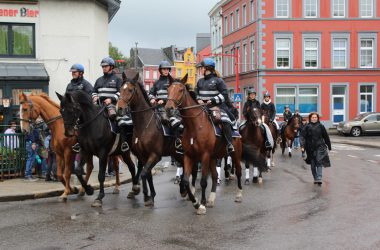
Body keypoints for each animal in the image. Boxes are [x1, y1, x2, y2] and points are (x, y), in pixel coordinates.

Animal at [117, 70, 186, 207]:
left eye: (131, 90)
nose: (120, 108)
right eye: (121, 89)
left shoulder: (155, 155)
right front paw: (150, 195)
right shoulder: (143, 156)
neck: (144, 125)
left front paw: (146, 196)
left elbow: (144, 173)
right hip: (175, 153)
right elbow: (147, 174)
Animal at [164, 73, 242, 215]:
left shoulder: (204, 155)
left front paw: (202, 204)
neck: (195, 125)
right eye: (168, 89)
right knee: (215, 175)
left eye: (181, 90)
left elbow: (204, 181)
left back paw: (238, 195)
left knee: (238, 171)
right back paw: (211, 199)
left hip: (235, 154)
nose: (168, 108)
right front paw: (196, 203)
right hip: (214, 157)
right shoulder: (189, 156)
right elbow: (185, 181)